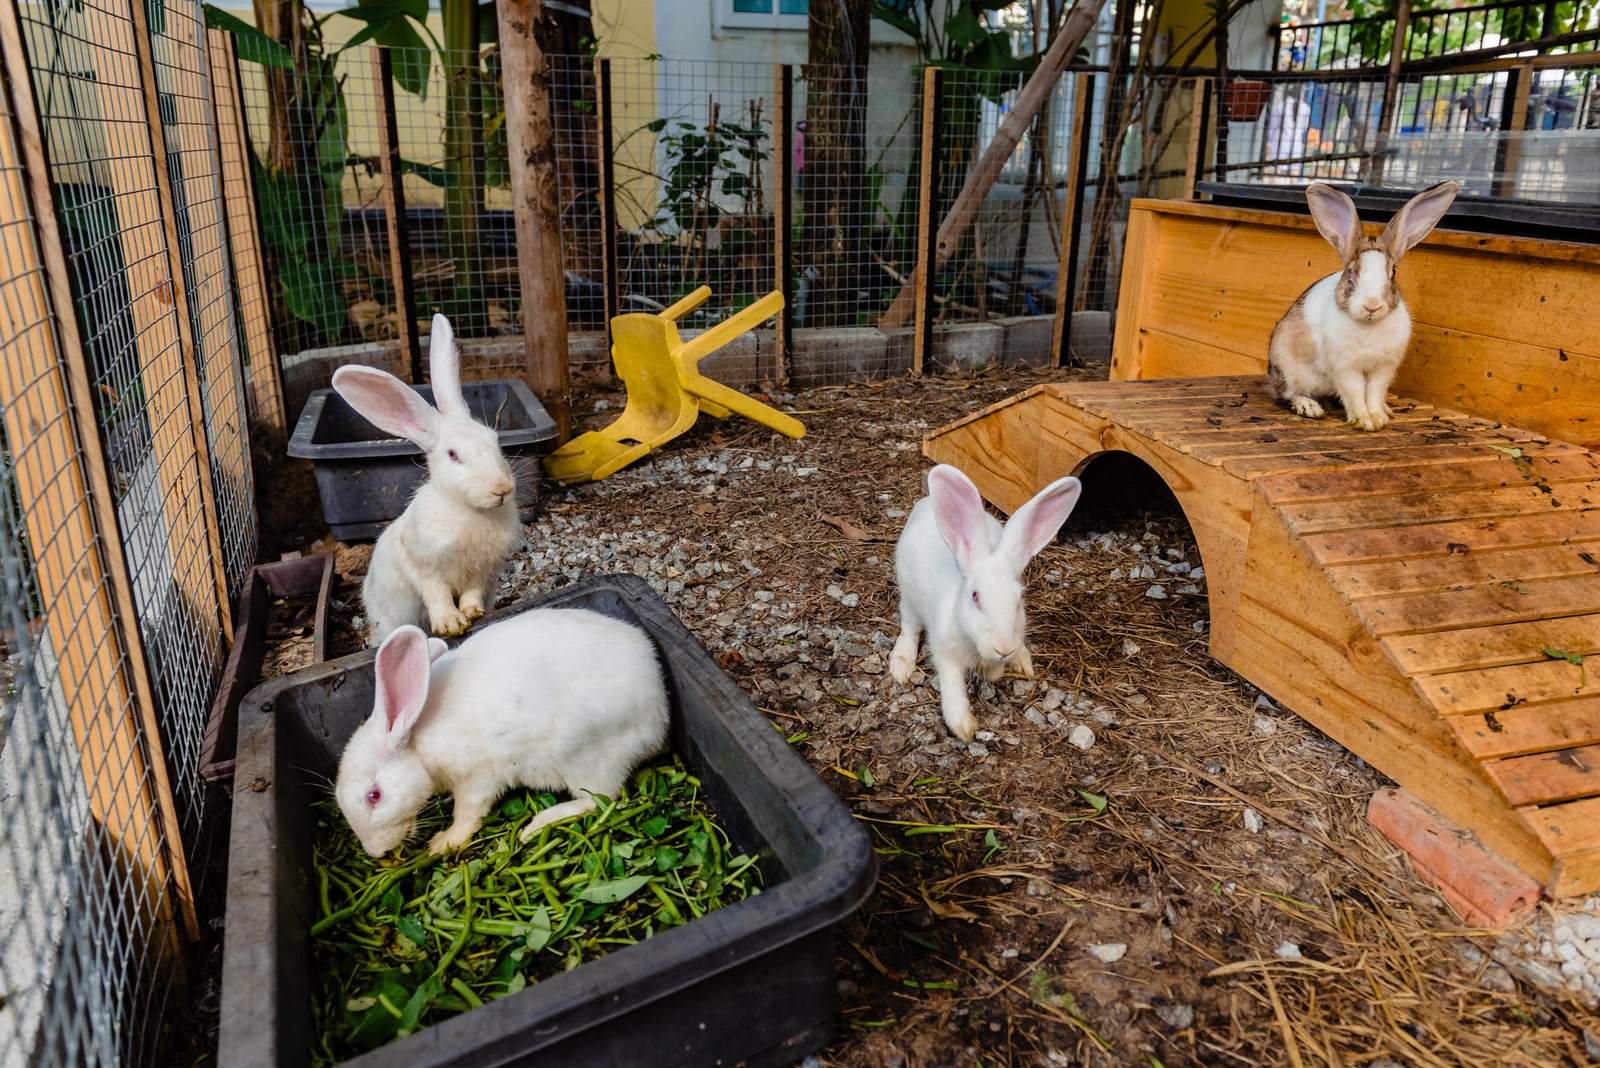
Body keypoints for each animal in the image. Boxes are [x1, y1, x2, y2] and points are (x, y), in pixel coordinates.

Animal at [332, 314, 522, 645]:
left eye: (495, 440)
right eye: (453, 454)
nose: (502, 489)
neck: (469, 510)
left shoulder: (480, 571)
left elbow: (471, 593)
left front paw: (472, 613)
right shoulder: (424, 567)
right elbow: (438, 596)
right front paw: (450, 624)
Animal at [335, 607, 671, 857]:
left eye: (374, 796)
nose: (374, 852)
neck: (418, 742)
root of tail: (658, 711)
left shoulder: (476, 777)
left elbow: (468, 813)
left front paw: (443, 843)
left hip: (583, 757)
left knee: (600, 800)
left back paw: (536, 826)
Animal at [890, 464, 1083, 742]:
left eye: (1020, 598)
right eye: (975, 596)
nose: (1003, 648)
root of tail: (926, 504)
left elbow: (995, 671)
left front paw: (997, 669)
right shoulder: (945, 653)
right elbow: (952, 685)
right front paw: (963, 727)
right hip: (909, 595)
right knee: (909, 627)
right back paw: (901, 664)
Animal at [1267, 180, 1459, 431]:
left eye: (1393, 273)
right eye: (1351, 273)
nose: (1372, 306)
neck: (1368, 327)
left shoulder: (1383, 368)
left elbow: (1375, 393)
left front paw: (1378, 417)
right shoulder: (1345, 368)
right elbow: (1355, 393)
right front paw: (1365, 421)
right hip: (1287, 368)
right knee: (1287, 393)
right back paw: (1308, 406)